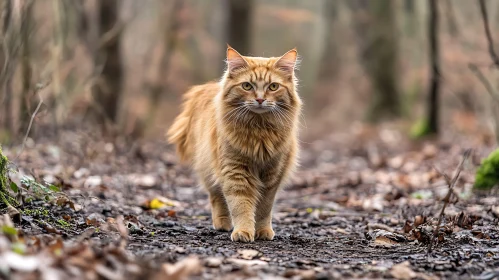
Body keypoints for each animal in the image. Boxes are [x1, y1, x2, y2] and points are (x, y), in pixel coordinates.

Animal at [167, 46, 300, 243]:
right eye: (247, 86)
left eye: (273, 87)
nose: (260, 100)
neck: (259, 131)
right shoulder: (235, 171)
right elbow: (240, 205)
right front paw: (243, 231)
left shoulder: (272, 175)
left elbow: (264, 208)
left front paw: (262, 231)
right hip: (209, 167)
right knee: (217, 196)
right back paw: (223, 223)